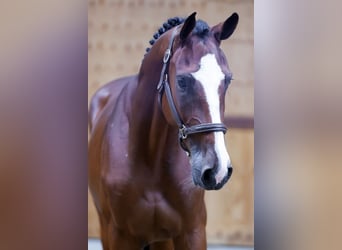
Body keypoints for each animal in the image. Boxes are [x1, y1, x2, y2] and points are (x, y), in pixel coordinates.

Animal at [88, 11, 238, 250]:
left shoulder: (192, 232)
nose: (217, 170)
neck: (151, 158)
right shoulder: (120, 235)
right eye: (182, 81)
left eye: (227, 80)